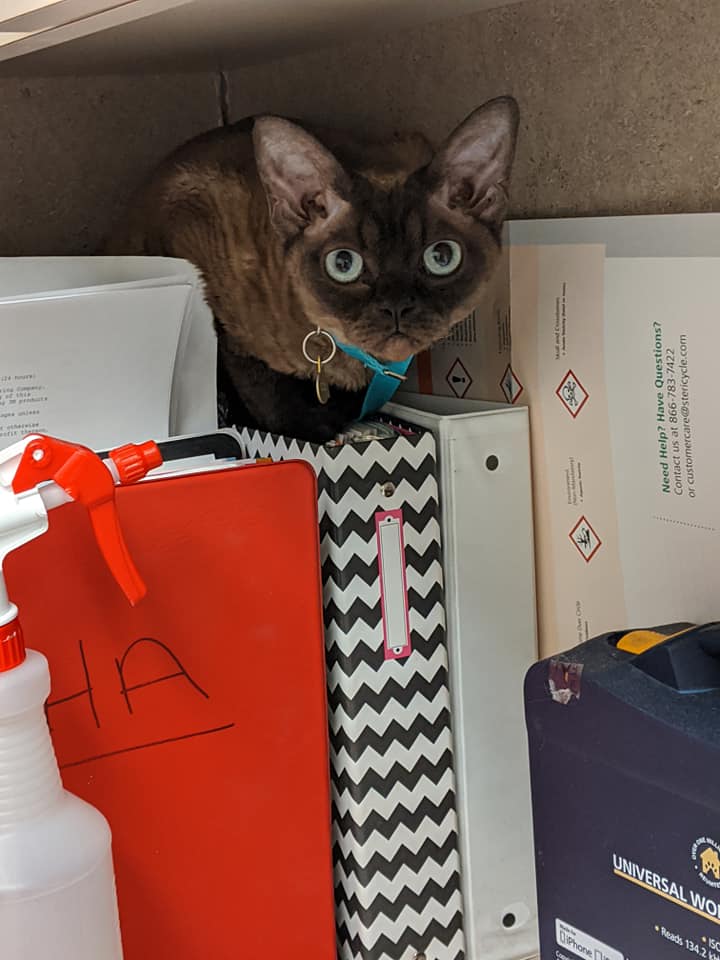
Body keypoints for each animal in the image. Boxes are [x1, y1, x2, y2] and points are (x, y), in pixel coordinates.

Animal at [106, 96, 519, 442]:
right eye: (343, 264)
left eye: (441, 257)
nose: (396, 307)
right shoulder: (224, 322)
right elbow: (269, 396)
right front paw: (324, 430)